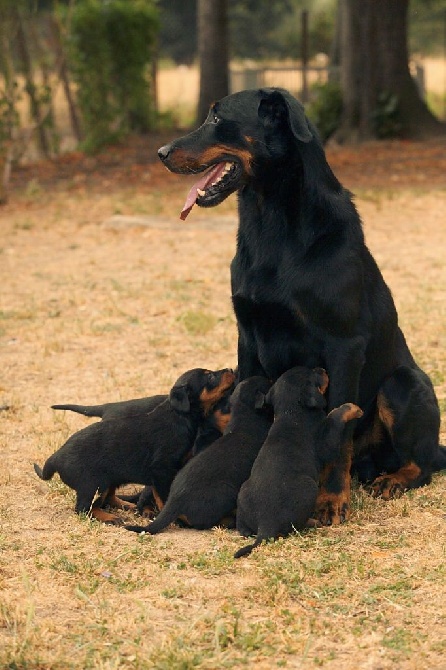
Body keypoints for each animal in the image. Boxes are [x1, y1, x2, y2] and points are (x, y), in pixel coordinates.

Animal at [33, 368, 235, 524]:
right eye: (210, 377)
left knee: (106, 499)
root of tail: (56, 457)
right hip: (92, 483)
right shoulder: (161, 469)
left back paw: (125, 506)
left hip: (108, 478)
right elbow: (163, 496)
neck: (179, 416)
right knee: (83, 509)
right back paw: (110, 518)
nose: (231, 370)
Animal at [159, 88, 444, 524]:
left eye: (217, 119)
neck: (272, 222)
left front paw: (331, 499)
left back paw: (393, 479)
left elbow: (339, 425)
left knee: (423, 462)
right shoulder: (247, 336)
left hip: (402, 384)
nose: (160, 152)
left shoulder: (344, 346)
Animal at [233, 370, 362, 560]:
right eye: (312, 374)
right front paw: (351, 408)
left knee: (243, 528)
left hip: (243, 493)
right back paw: (313, 522)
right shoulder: (326, 443)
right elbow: (334, 416)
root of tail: (266, 523)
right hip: (309, 488)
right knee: (296, 525)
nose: (322, 369)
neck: (291, 413)